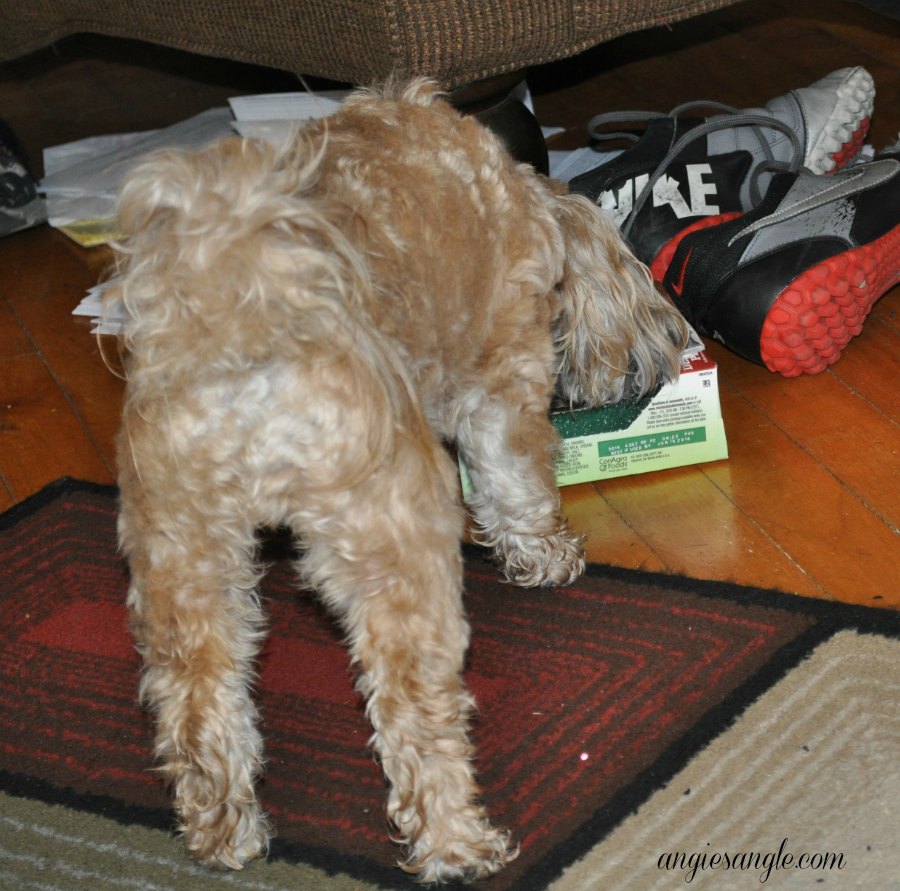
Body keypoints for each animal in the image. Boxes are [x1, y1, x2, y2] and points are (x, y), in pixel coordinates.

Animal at [110, 78, 688, 884]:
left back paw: (224, 829)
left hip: (184, 559)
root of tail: (242, 333)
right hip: (391, 545)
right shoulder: (502, 381)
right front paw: (544, 553)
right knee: (412, 710)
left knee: (198, 702)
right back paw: (458, 844)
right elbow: (516, 481)